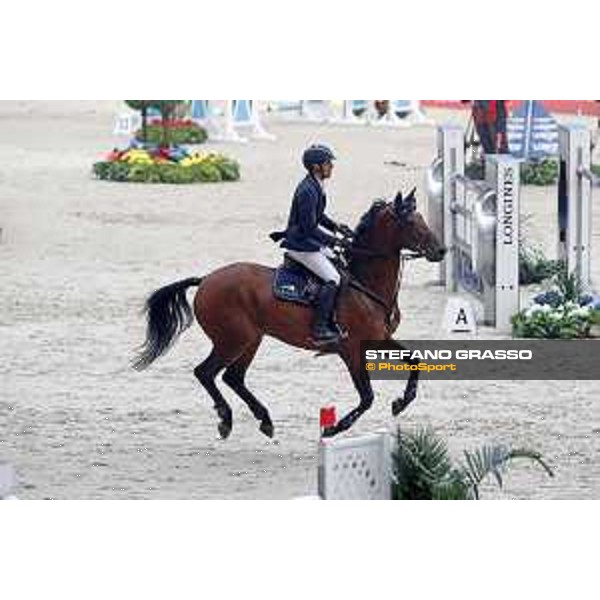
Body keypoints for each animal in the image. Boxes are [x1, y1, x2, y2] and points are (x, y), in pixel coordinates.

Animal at [134, 190, 442, 438]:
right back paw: (226, 419)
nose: (441, 250)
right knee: (206, 372)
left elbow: (415, 360)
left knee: (233, 378)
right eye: (411, 223)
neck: (365, 284)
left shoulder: (378, 340)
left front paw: (401, 402)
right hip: (233, 340)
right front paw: (334, 428)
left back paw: (264, 420)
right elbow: (366, 397)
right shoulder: (351, 349)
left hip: (250, 340)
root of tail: (206, 280)